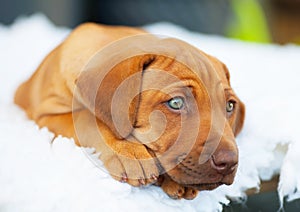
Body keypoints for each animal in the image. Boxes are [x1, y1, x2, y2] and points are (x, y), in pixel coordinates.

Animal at [14, 23, 245, 200]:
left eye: (229, 106)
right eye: (176, 103)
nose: (229, 163)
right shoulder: (45, 116)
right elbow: (86, 118)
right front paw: (130, 153)